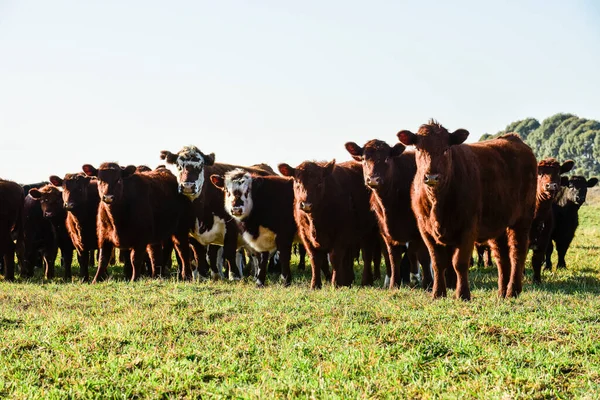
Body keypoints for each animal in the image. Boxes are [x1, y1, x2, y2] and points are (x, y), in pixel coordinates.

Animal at [158, 145, 274, 280]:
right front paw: (196, 276)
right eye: (178, 165)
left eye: (201, 166)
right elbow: (191, 253)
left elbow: (229, 251)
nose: (188, 186)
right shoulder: (184, 230)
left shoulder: (231, 226)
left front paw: (234, 275)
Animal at [278, 159, 380, 288]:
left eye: (319, 183)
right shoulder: (305, 235)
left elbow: (335, 258)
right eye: (297, 182)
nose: (306, 205)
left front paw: (335, 283)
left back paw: (366, 281)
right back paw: (348, 280)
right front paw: (315, 285)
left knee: (367, 255)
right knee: (349, 257)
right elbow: (315, 259)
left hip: (369, 232)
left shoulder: (341, 234)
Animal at [344, 139, 434, 290]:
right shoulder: (386, 232)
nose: (373, 179)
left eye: (386, 158)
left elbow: (423, 256)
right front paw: (394, 284)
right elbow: (392, 257)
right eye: (363, 159)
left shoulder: (420, 231)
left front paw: (428, 284)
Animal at [398, 120, 536, 298]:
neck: (438, 202)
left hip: (522, 220)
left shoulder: (468, 228)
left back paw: (513, 290)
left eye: (446, 149)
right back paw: (502, 292)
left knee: (517, 253)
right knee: (501, 257)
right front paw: (438, 293)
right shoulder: (426, 230)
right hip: (498, 224)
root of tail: (513, 138)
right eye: (418, 149)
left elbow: (459, 263)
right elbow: (437, 263)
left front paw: (463, 294)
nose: (432, 177)